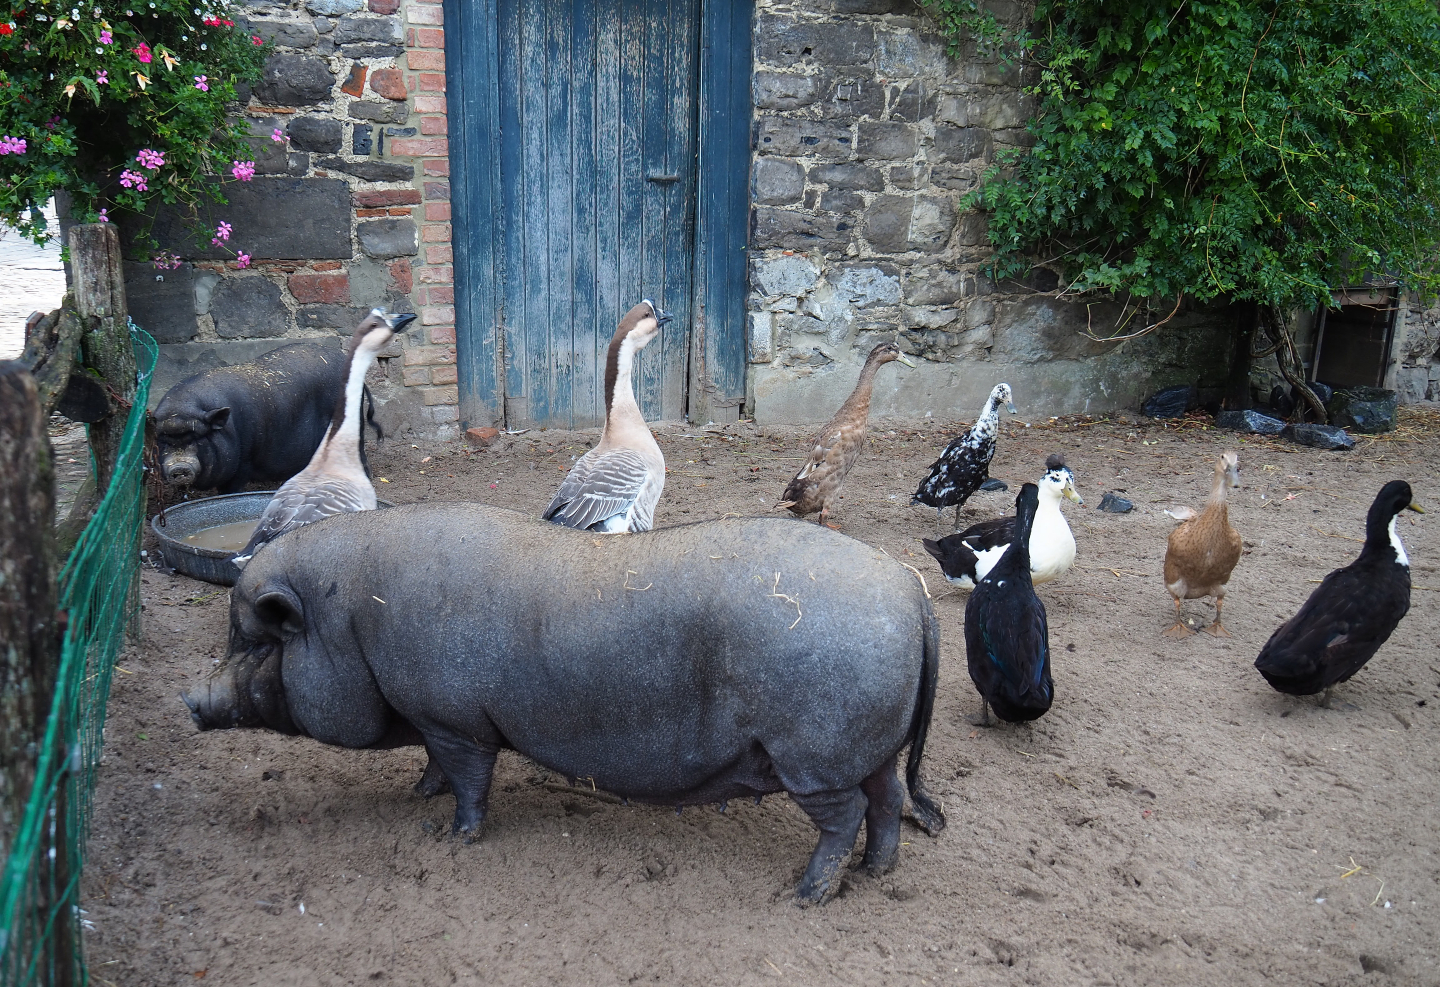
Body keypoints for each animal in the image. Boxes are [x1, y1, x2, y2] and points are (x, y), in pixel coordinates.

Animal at [184, 503, 947, 904]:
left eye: (251, 640)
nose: (190, 698)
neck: (351, 621)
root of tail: (909, 590)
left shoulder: (455, 718)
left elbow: (469, 779)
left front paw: (450, 837)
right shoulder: (432, 717)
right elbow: (435, 766)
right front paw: (416, 797)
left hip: (813, 754)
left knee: (846, 816)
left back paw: (803, 893)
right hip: (869, 746)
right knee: (885, 800)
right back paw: (878, 874)